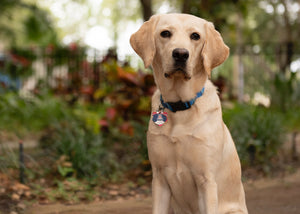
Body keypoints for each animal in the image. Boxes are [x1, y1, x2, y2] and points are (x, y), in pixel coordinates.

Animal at [130, 13, 247, 214]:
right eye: (165, 33)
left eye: (195, 36)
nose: (180, 54)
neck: (180, 107)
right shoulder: (159, 179)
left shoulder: (207, 181)